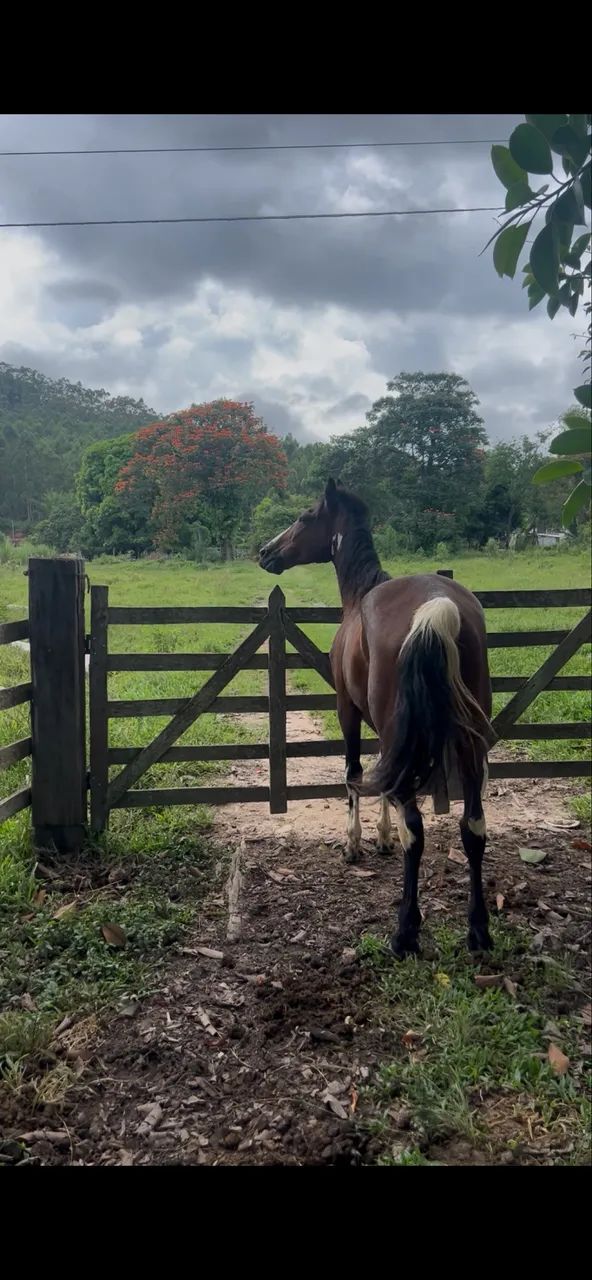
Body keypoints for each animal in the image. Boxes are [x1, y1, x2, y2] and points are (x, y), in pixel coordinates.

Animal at [259, 479, 496, 957]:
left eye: (305, 516)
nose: (265, 552)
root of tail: (438, 608)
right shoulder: (391, 734)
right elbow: (380, 773)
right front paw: (381, 837)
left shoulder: (347, 710)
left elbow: (352, 772)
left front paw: (354, 844)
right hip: (469, 741)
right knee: (473, 826)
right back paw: (478, 931)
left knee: (416, 831)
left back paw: (405, 932)